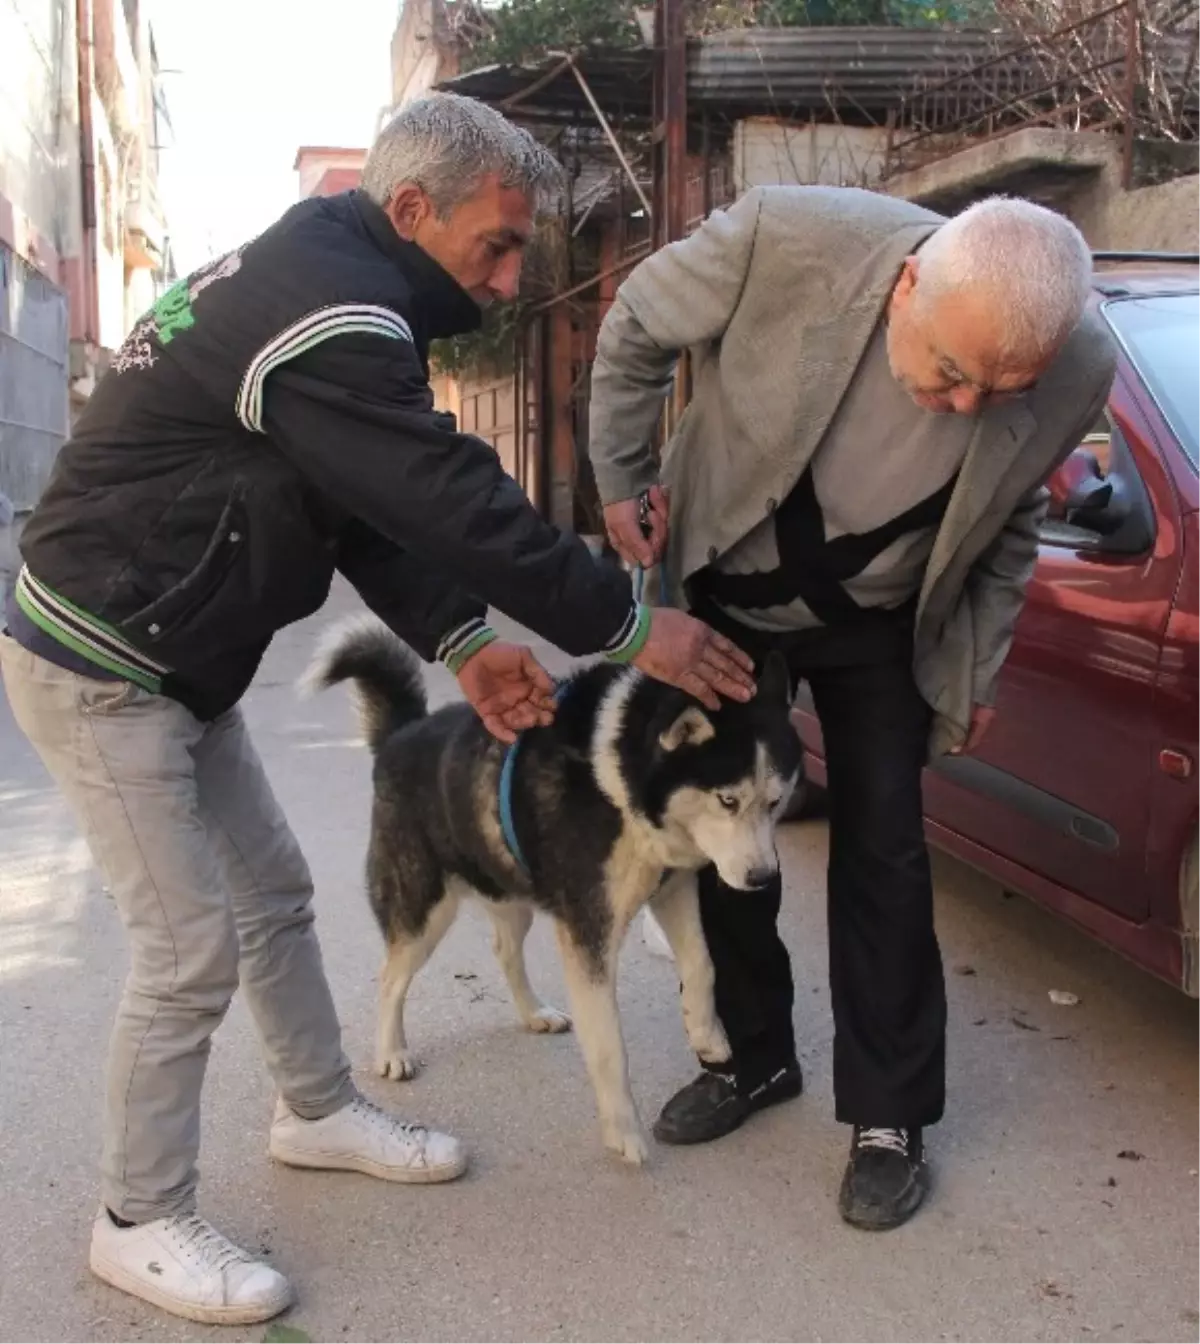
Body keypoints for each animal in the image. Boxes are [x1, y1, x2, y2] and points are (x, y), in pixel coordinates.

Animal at [303, 620, 800, 1166]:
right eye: (728, 800)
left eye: (776, 801)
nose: (762, 878)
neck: (621, 776)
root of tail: (402, 733)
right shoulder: (588, 931)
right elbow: (608, 1045)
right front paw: (623, 1132)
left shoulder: (673, 887)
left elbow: (702, 965)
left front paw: (706, 1035)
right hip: (423, 908)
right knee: (391, 976)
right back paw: (392, 1051)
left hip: (508, 886)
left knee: (503, 948)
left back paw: (533, 1013)